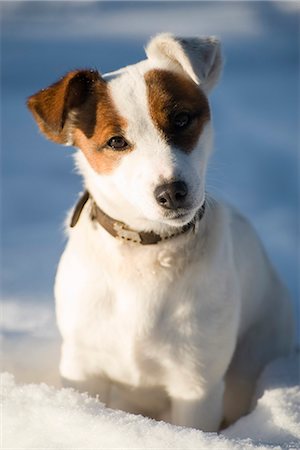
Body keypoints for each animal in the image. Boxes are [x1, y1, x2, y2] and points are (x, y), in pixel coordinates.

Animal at [27, 33, 294, 430]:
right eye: (116, 142)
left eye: (182, 119)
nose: (171, 192)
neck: (146, 253)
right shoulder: (83, 367)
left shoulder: (195, 383)